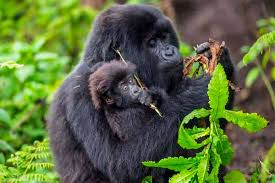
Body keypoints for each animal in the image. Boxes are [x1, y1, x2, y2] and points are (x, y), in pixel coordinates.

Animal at [48, 3, 235, 183]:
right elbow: (119, 163)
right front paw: (194, 93)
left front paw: (221, 60)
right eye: (152, 42)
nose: (170, 51)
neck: (104, 61)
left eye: (164, 37)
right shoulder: (81, 91)